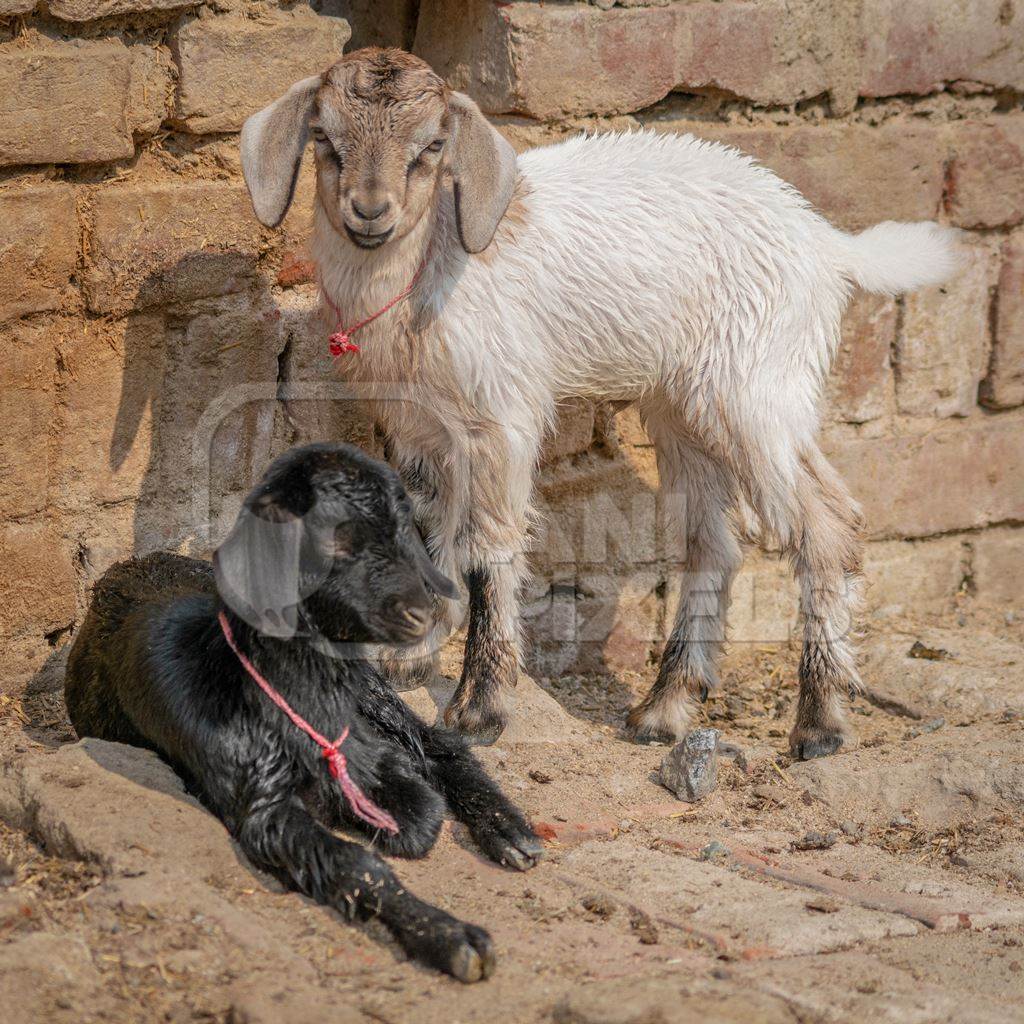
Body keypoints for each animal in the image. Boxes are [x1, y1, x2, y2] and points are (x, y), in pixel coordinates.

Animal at [64, 442, 544, 983]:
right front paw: (451, 937)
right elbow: (362, 861)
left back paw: (510, 830)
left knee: (438, 745)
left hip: (372, 689)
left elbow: (414, 798)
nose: (423, 609)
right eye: (338, 541)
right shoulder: (262, 807)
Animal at [239, 48, 958, 757]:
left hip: (754, 390)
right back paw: (665, 709)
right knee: (714, 543)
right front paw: (409, 657)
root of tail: (830, 245)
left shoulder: (500, 418)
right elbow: (428, 528)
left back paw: (820, 720)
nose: (370, 212)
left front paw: (479, 711)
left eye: (434, 145)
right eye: (324, 138)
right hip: (684, 410)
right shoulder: (419, 426)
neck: (427, 270)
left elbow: (487, 551)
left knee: (830, 526)